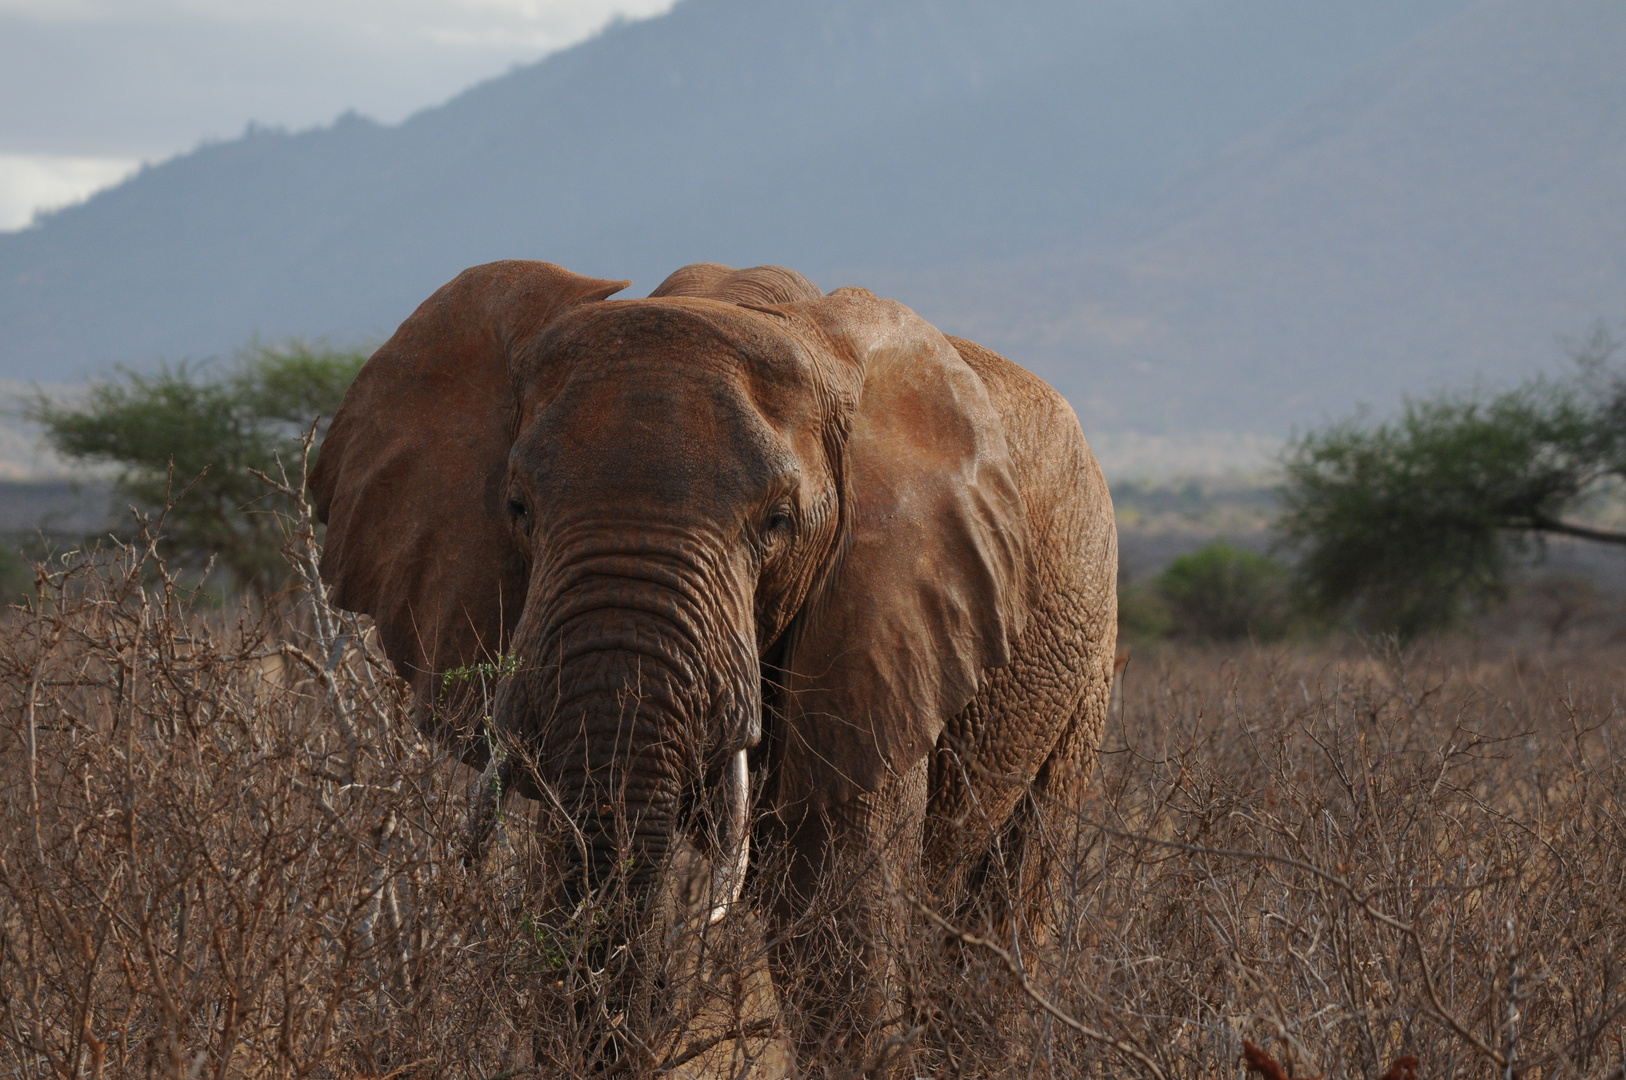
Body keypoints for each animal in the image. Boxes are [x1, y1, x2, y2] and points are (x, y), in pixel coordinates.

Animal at [305, 260, 1118, 1073]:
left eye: (777, 523)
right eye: (518, 508)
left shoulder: (882, 625)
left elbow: (838, 927)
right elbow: (578, 880)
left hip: (1086, 661)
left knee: (1004, 910)